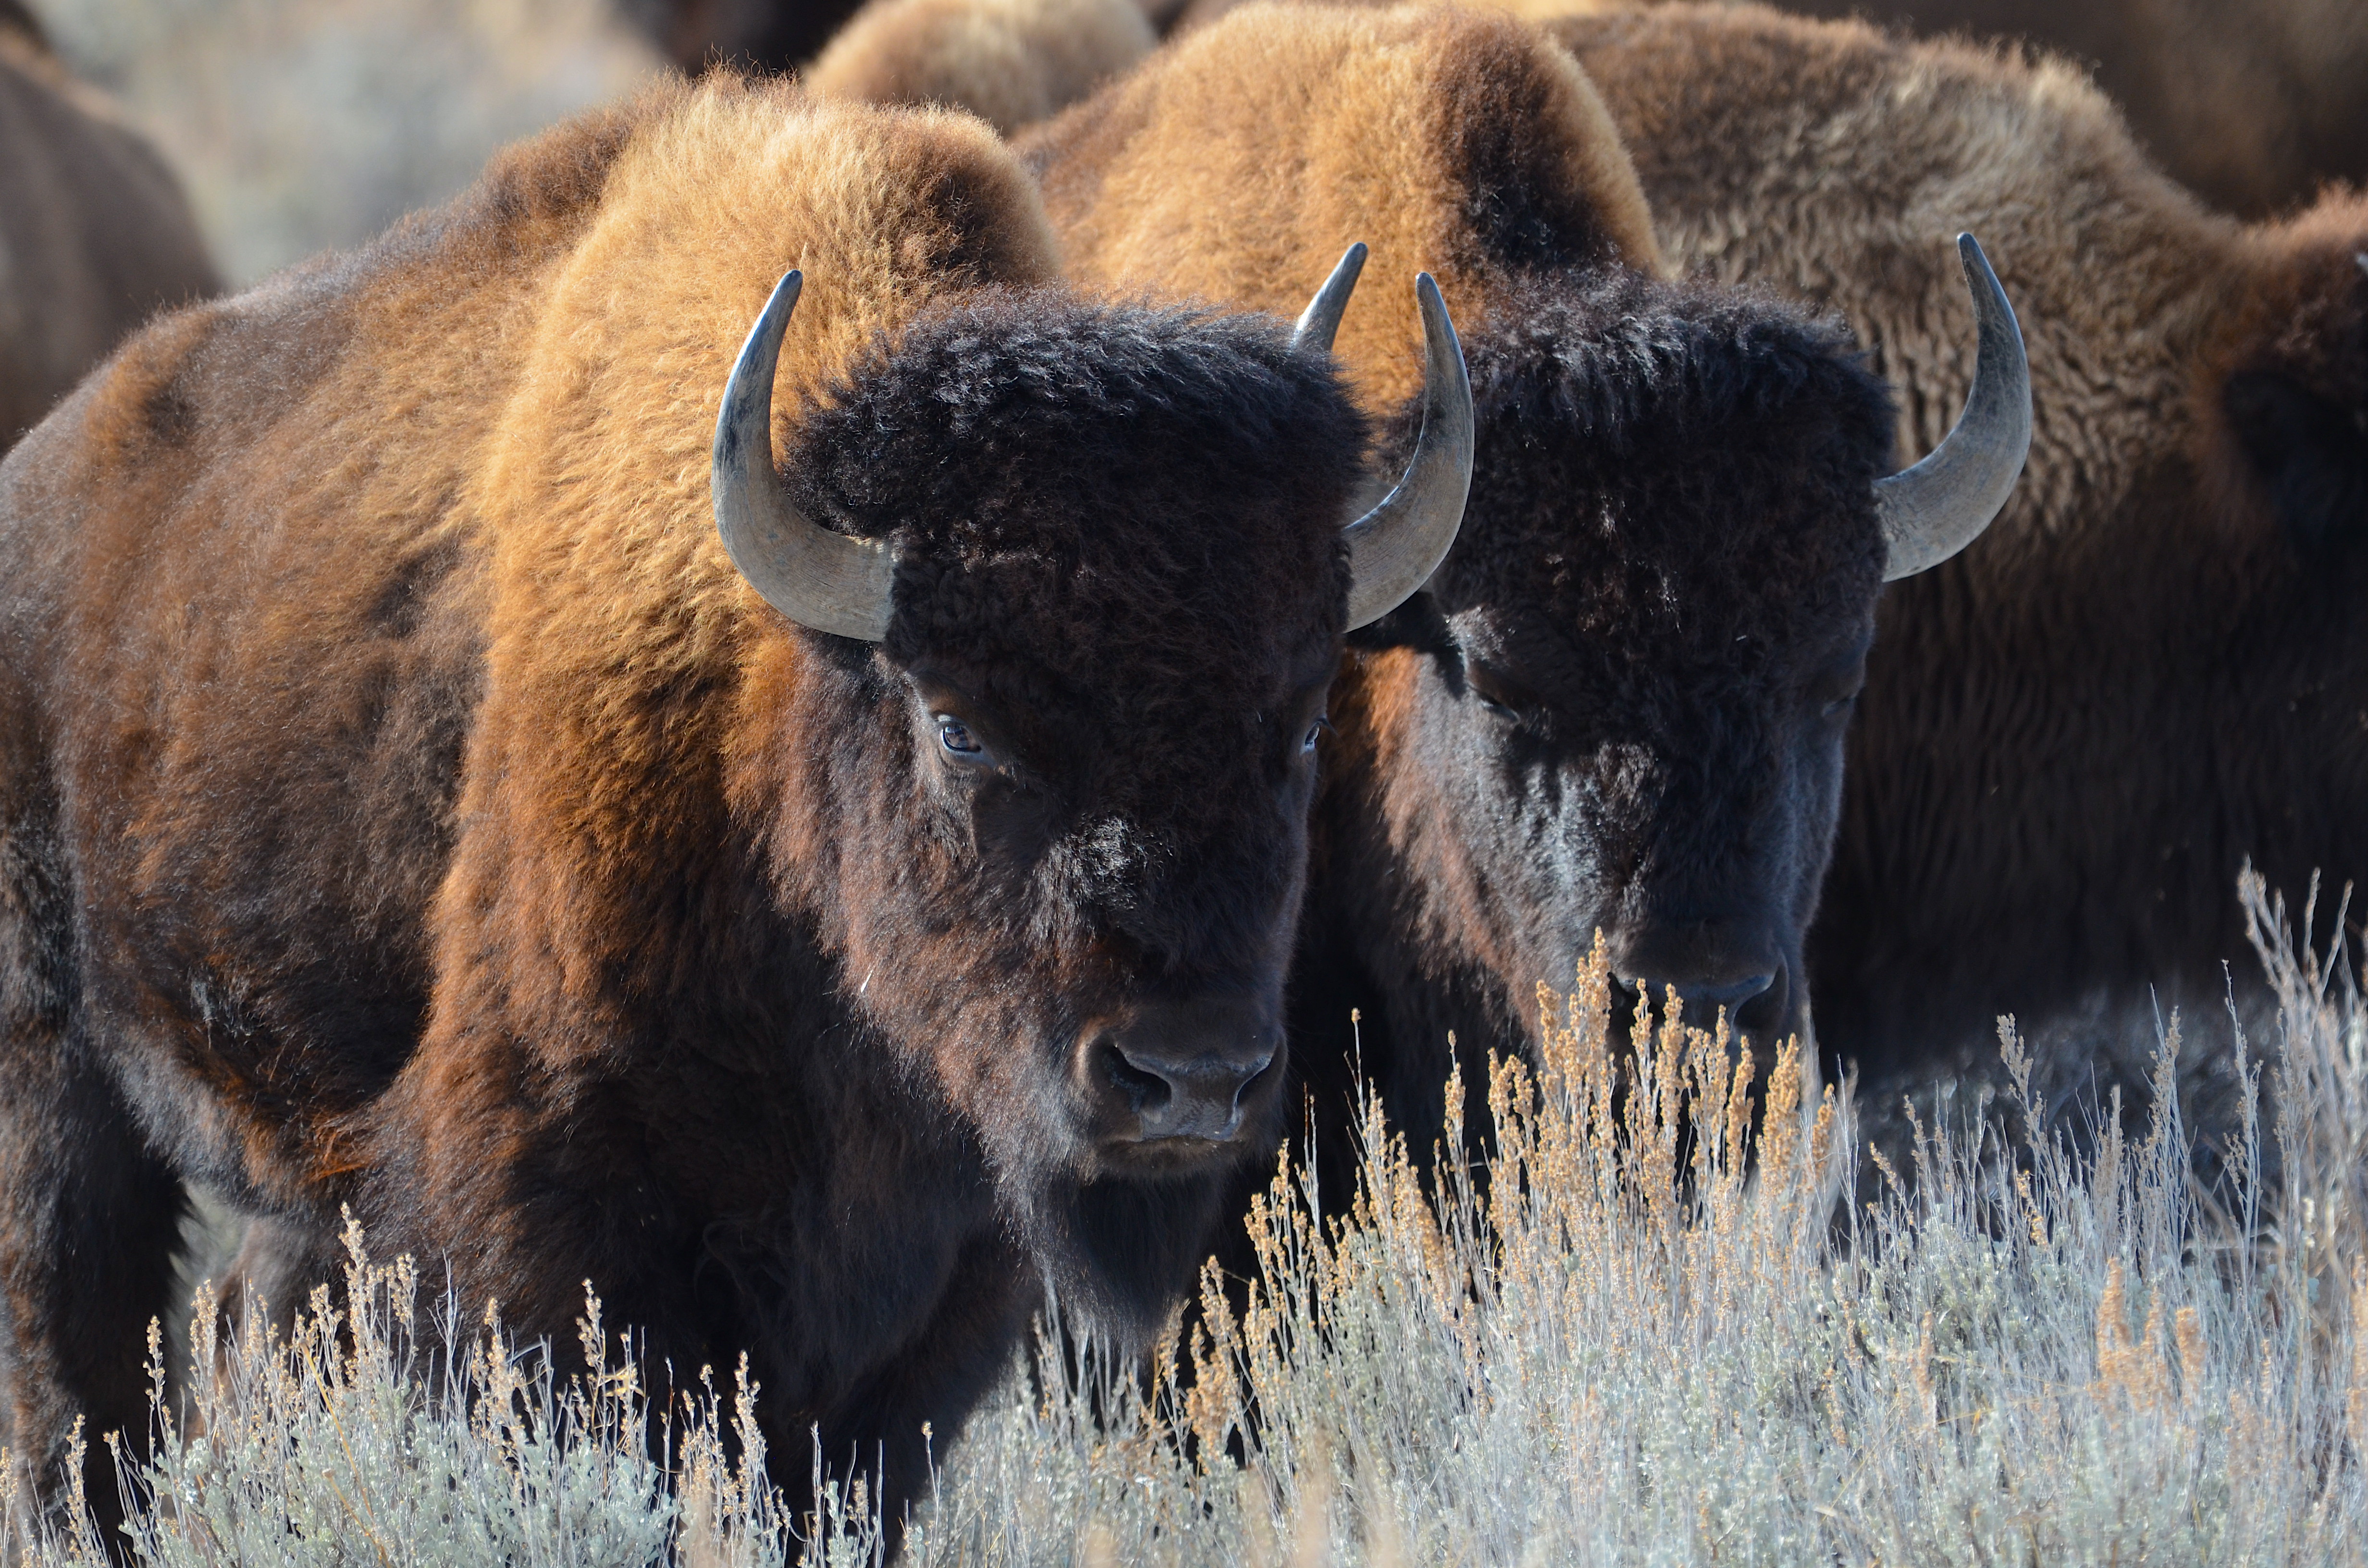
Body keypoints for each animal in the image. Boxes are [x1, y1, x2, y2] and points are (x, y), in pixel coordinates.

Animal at [0, 77, 1473, 1527]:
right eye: (958, 724)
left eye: (1299, 726)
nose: (1188, 1077)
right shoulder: (552, 1223)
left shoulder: (935, 1287)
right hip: (59, 1085)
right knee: (80, 1383)